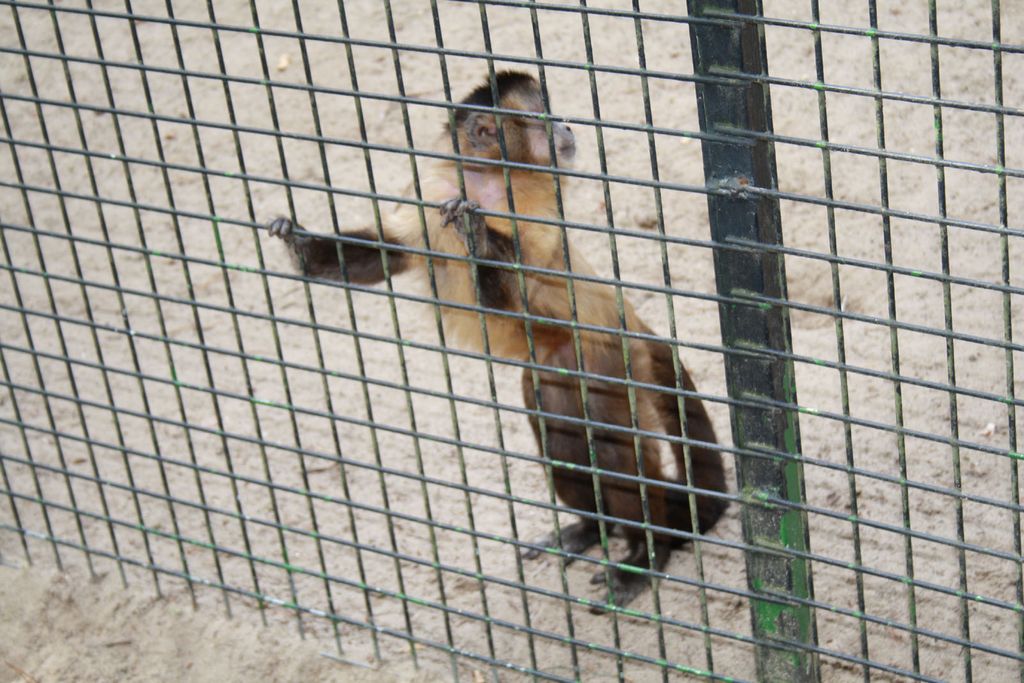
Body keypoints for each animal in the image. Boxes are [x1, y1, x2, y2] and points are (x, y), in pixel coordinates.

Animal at [266, 70, 729, 614]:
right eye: (544, 117)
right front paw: (300, 247)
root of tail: (625, 319)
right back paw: (591, 529)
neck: (484, 181)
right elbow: (387, 252)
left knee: (616, 454)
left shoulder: (536, 200)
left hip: (606, 364)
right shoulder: (432, 191)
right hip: (553, 377)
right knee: (562, 441)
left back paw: (643, 552)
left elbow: (523, 275)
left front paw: (479, 237)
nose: (568, 126)